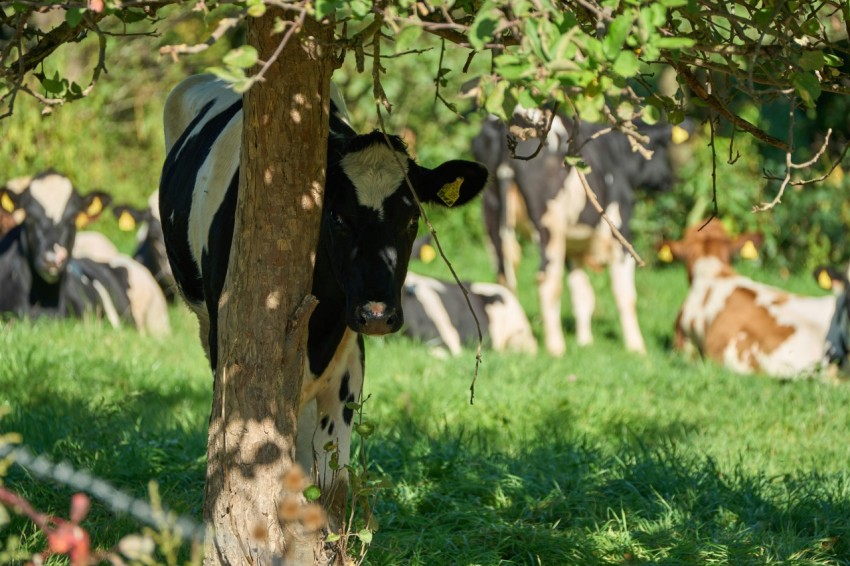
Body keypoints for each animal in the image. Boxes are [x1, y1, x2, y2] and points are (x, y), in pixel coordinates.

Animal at [470, 111, 688, 358]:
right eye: (660, 150)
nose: (669, 182)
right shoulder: (620, 232)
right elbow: (625, 295)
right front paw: (636, 348)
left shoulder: (573, 247)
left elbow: (582, 294)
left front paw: (586, 343)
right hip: (550, 224)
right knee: (548, 280)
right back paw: (556, 348)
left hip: (492, 215)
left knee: (505, 276)